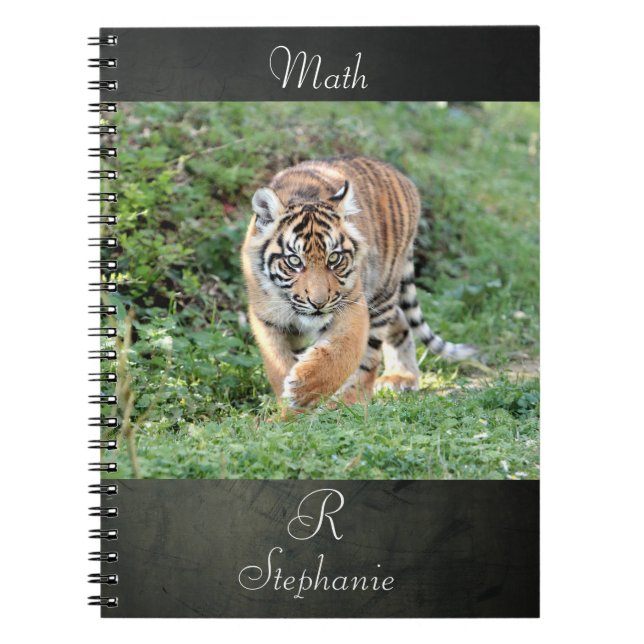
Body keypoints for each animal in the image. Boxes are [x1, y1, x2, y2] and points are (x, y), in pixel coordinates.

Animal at [241, 156, 475, 410]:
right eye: (294, 261)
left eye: (334, 258)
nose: (318, 303)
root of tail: (399, 174)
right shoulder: (267, 319)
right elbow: (278, 363)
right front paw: (290, 407)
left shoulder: (353, 307)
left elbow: (340, 354)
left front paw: (303, 390)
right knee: (400, 321)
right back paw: (402, 377)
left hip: (382, 293)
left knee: (369, 358)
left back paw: (351, 401)